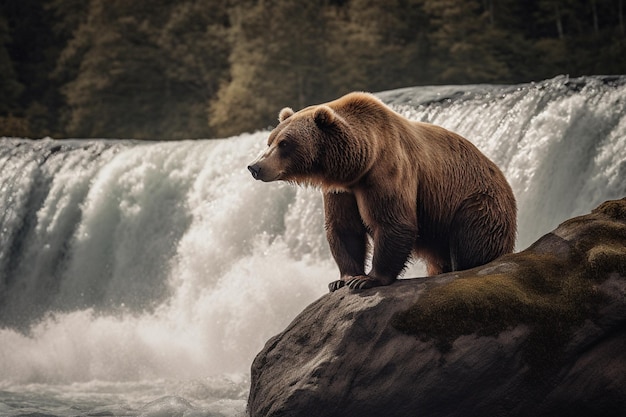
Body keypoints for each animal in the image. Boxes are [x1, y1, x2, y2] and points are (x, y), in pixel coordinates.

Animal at [246, 92, 516, 290]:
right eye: (270, 141)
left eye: (284, 143)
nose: (255, 167)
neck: (357, 163)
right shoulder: (341, 190)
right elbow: (344, 228)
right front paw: (342, 279)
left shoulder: (386, 171)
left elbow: (392, 222)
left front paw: (367, 279)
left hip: (475, 203)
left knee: (472, 239)